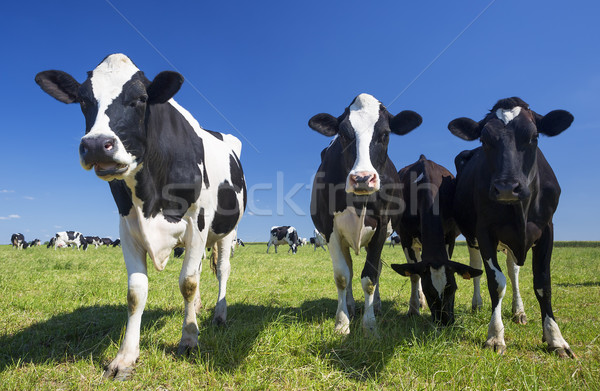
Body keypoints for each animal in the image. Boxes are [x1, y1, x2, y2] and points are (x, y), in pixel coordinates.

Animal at [35, 52, 246, 380]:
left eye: (141, 99)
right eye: (83, 99)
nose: (96, 145)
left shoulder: (196, 224)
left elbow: (187, 283)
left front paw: (189, 340)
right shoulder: (127, 227)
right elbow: (136, 293)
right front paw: (125, 358)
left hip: (226, 231)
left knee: (221, 270)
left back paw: (219, 316)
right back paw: (198, 309)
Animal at [310, 93, 422, 336]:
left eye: (385, 134)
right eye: (343, 134)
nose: (362, 178)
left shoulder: (382, 225)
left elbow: (370, 277)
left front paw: (370, 325)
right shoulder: (329, 227)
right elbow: (342, 276)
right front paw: (342, 322)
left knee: (376, 269)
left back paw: (377, 305)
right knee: (350, 269)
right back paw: (351, 306)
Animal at [390, 155, 482, 324]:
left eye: (453, 288)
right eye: (428, 292)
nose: (445, 321)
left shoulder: (450, 236)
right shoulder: (405, 238)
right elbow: (414, 275)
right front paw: (413, 309)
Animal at [448, 97, 576, 358]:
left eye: (534, 136)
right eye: (484, 139)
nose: (507, 187)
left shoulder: (547, 229)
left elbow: (542, 283)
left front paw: (555, 337)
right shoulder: (484, 231)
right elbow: (496, 282)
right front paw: (495, 335)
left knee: (514, 270)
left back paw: (519, 311)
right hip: (473, 237)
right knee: (477, 267)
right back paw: (477, 304)